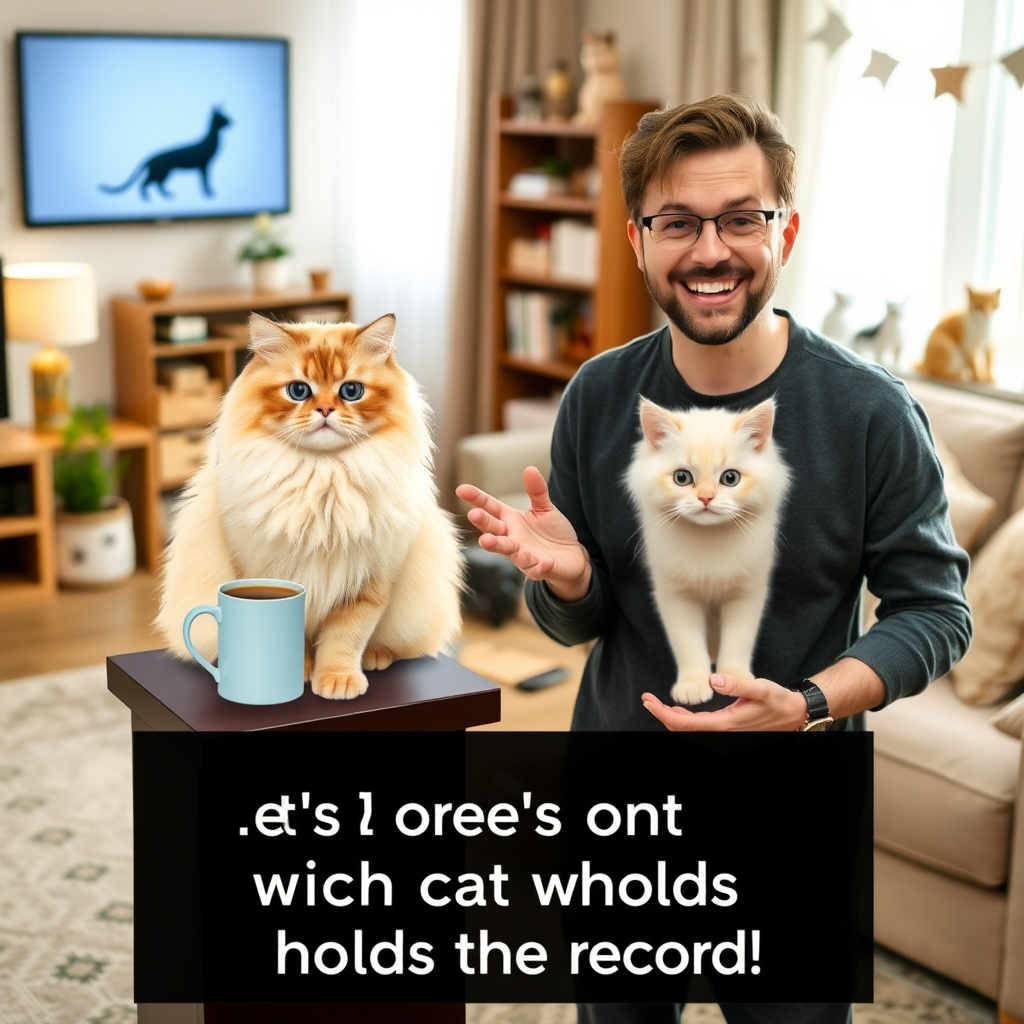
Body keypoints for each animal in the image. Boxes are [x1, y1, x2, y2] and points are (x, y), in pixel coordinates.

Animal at [154, 311, 460, 696]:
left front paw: (337, 680)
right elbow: (295, 637)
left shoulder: (367, 584)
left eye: (351, 391)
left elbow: (345, 640)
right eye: (298, 391)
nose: (326, 409)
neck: (323, 479)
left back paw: (376, 657)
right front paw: (297, 672)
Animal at [622, 397, 790, 704]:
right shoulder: (676, 596)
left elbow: (739, 640)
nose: (706, 498)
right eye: (682, 477)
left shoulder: (746, 593)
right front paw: (693, 683)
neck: (709, 540)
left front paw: (733, 678)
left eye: (730, 478)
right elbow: (687, 645)